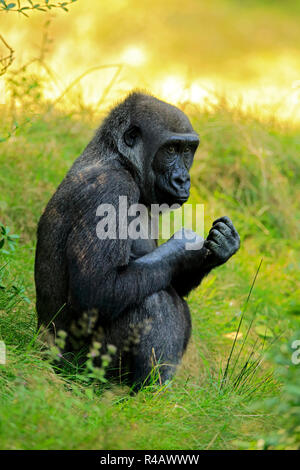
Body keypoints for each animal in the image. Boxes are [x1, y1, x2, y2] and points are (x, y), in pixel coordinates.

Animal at [35, 91, 240, 390]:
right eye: (170, 149)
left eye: (187, 151)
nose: (183, 179)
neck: (121, 161)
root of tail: (45, 352)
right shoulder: (112, 189)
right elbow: (95, 289)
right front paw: (184, 247)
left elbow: (173, 278)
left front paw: (221, 246)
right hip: (78, 370)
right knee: (152, 299)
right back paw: (147, 393)